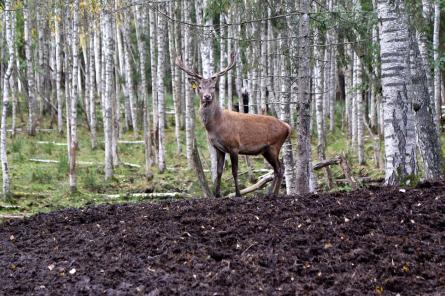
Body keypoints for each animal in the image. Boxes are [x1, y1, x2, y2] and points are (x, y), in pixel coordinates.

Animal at [175, 54, 290, 198]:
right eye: (199, 87)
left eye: (213, 87)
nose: (207, 96)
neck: (215, 126)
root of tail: (288, 127)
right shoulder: (218, 148)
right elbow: (219, 171)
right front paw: (217, 194)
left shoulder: (234, 146)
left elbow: (234, 171)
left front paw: (238, 194)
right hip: (266, 150)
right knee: (278, 168)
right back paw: (270, 193)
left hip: (274, 146)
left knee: (280, 168)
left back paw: (272, 194)